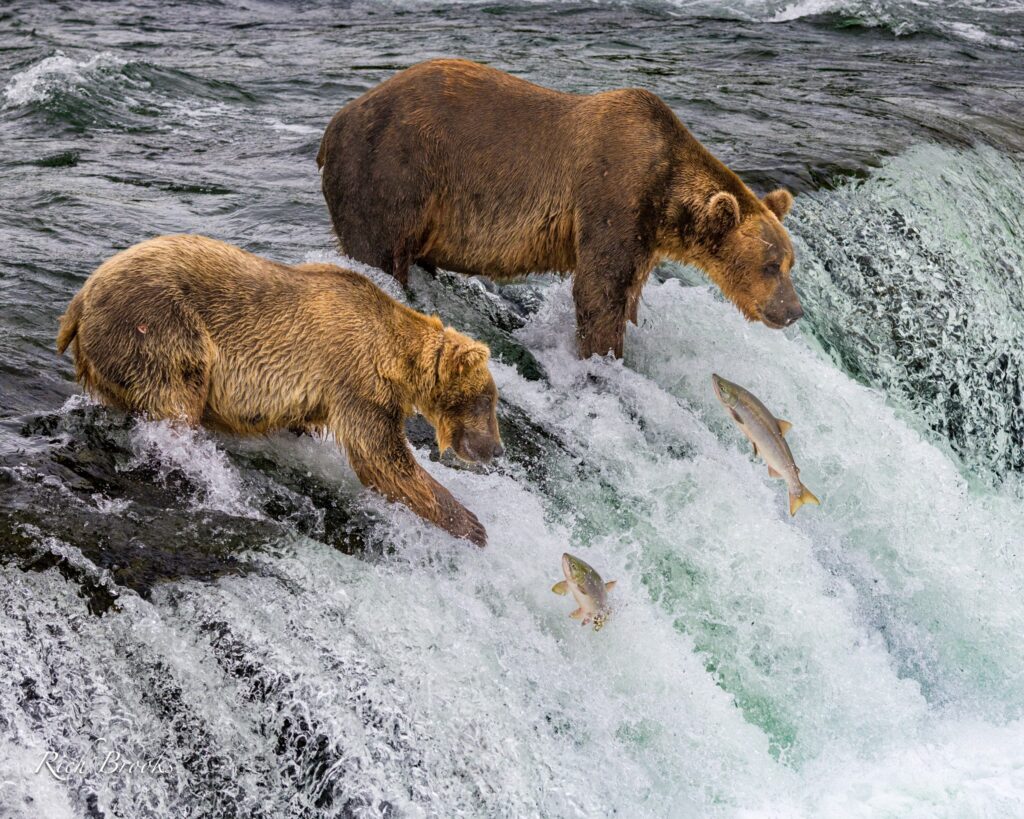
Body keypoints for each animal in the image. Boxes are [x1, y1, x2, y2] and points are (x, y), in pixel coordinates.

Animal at [56, 235, 503, 546]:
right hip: (157, 326)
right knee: (176, 397)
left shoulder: (320, 394)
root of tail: (79, 301)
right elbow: (381, 456)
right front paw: (471, 524)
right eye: (487, 400)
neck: (395, 356)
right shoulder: (356, 377)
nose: (496, 449)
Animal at [317, 58, 803, 359]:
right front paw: (604, 356)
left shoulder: (645, 235)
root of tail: (334, 124)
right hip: (392, 170)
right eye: (770, 265)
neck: (666, 193)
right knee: (377, 249)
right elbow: (598, 290)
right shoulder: (613, 193)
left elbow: (626, 291)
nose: (794, 311)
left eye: (789, 263)